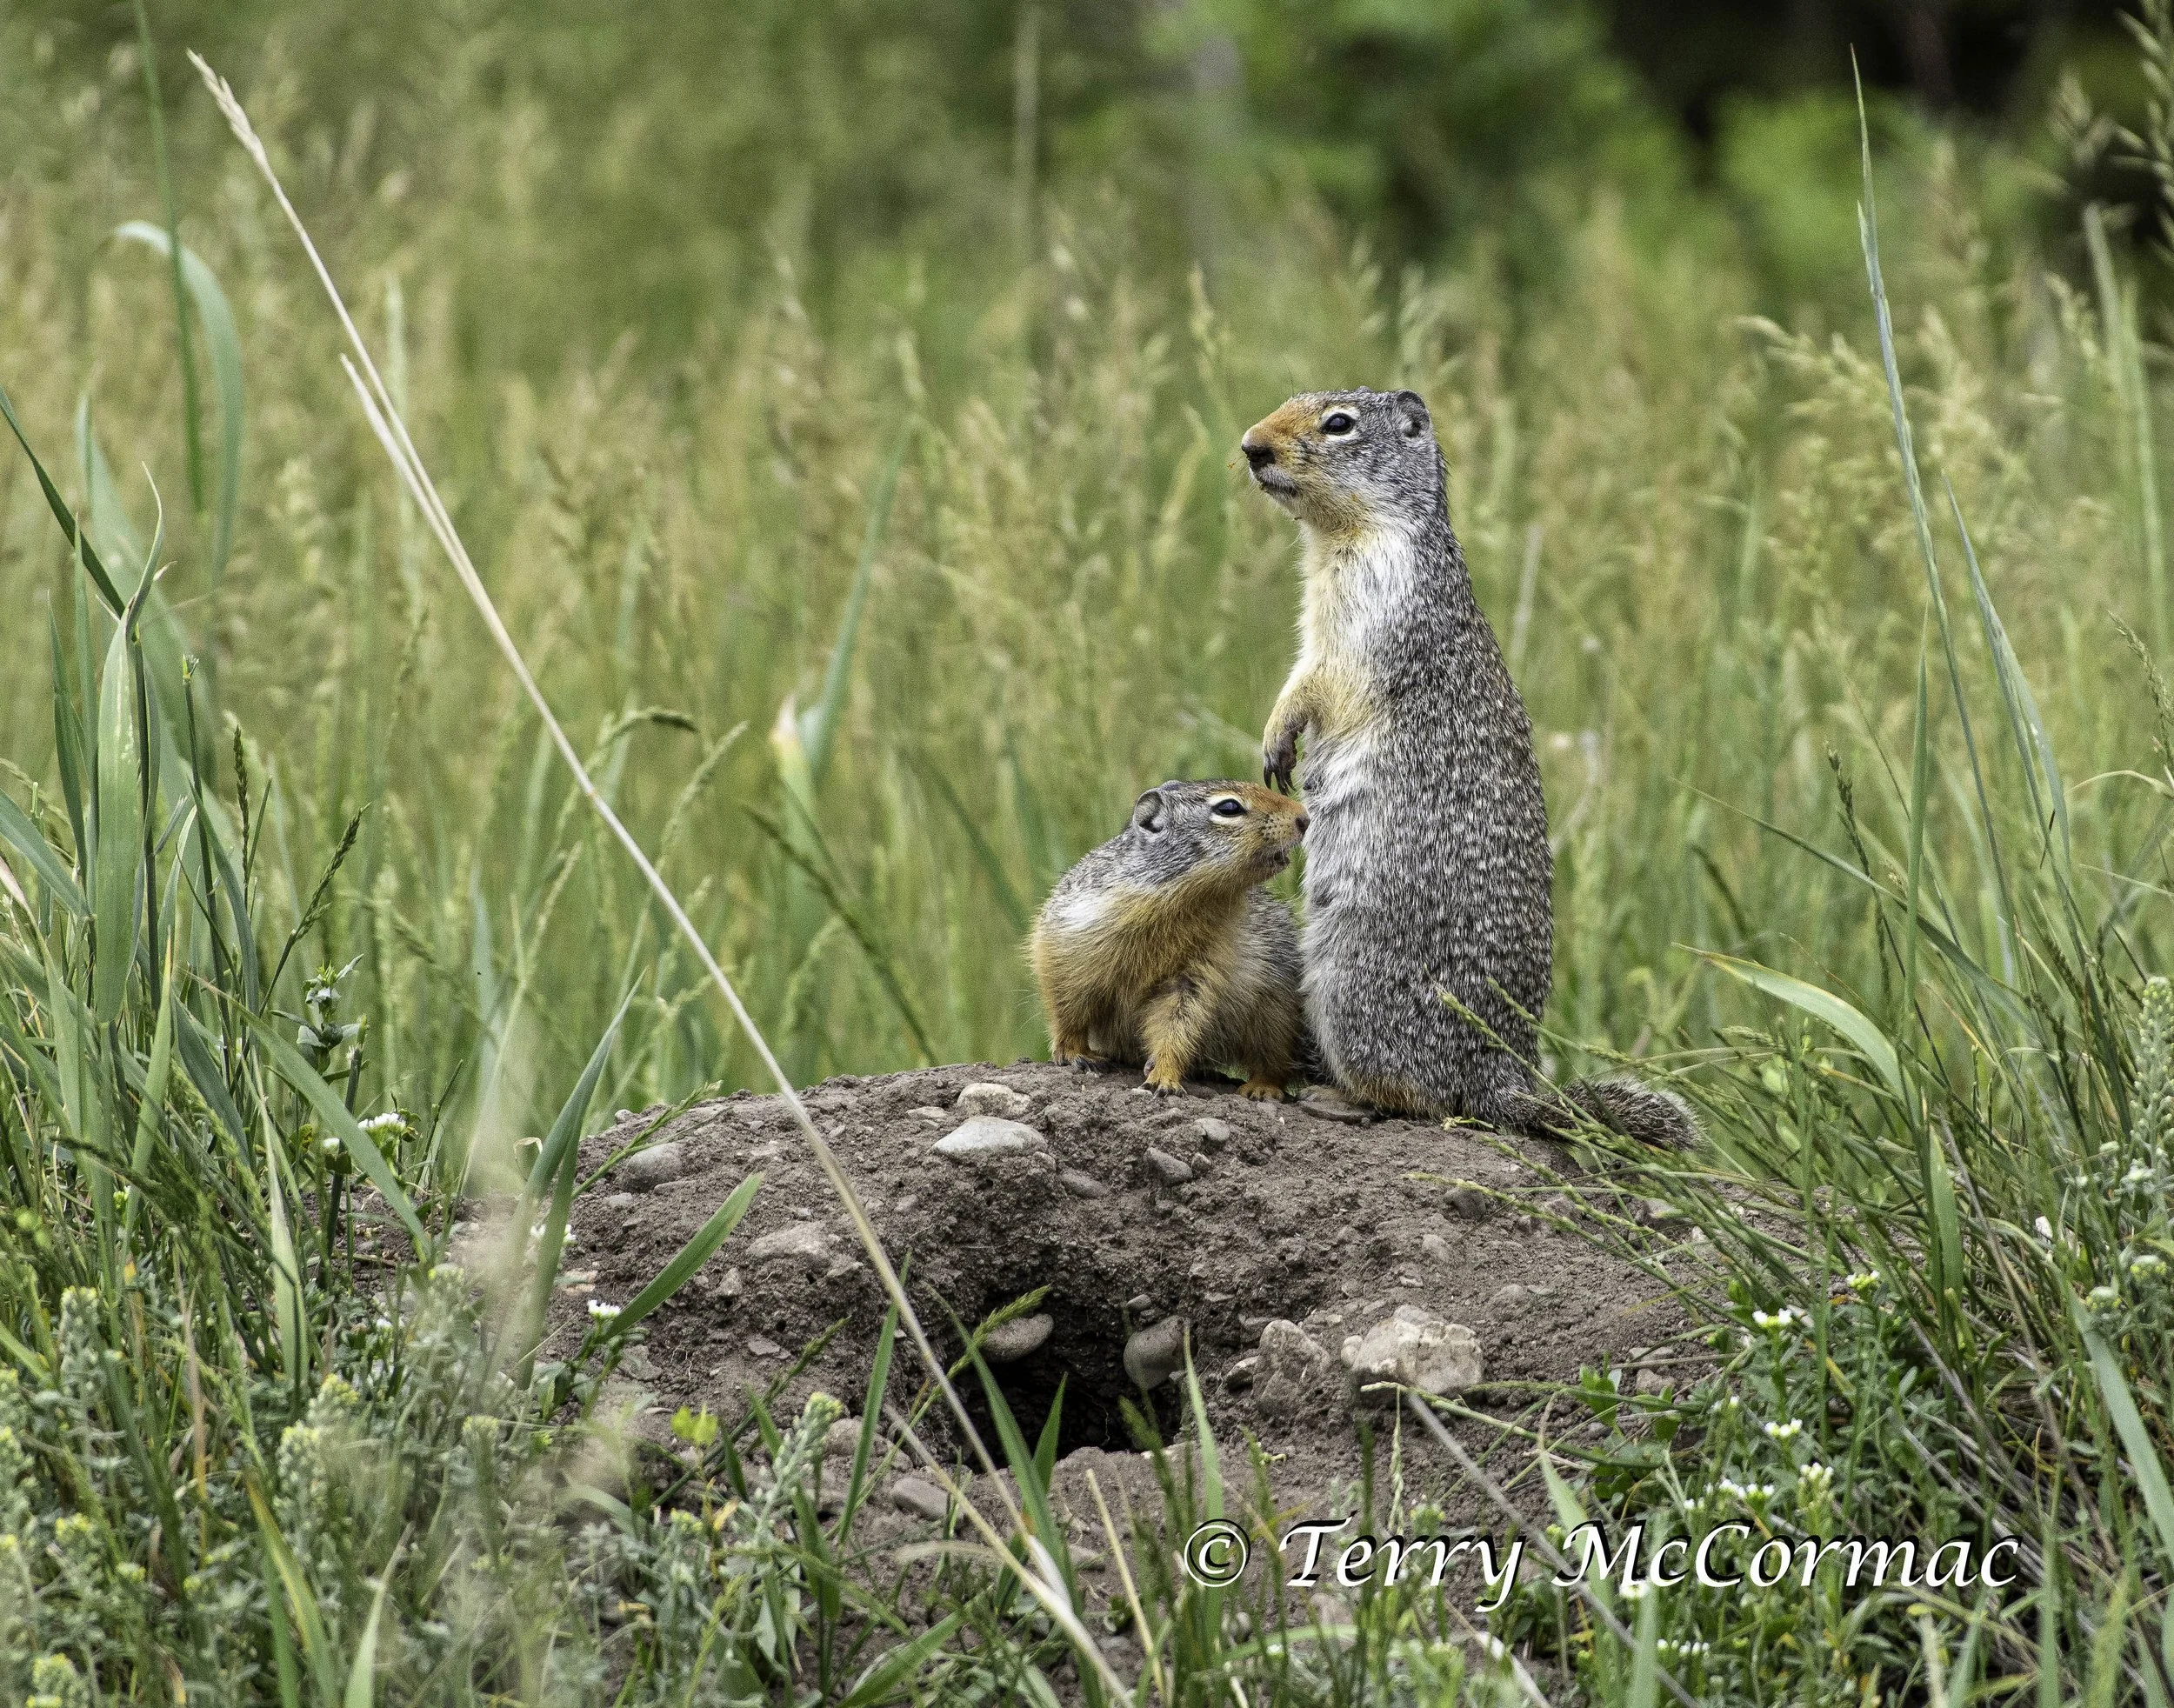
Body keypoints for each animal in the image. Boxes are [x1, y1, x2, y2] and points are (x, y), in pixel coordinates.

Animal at [1030, 780, 1308, 1099]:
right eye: (1229, 807)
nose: (1304, 817)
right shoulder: (1069, 940)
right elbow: (1066, 1005)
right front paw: (1076, 1053)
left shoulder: (1198, 969)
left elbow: (1177, 1021)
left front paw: (1163, 1078)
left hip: (1277, 1012)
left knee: (1274, 1060)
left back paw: (1260, 1087)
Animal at [1241, 386, 1696, 1149]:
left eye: (1339, 424)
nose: (1250, 447)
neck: (1341, 540)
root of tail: (1502, 1080)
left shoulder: (1372, 614)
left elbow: (1319, 680)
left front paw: (1279, 736)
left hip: (1350, 982)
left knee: (1416, 1096)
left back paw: (1337, 1096)